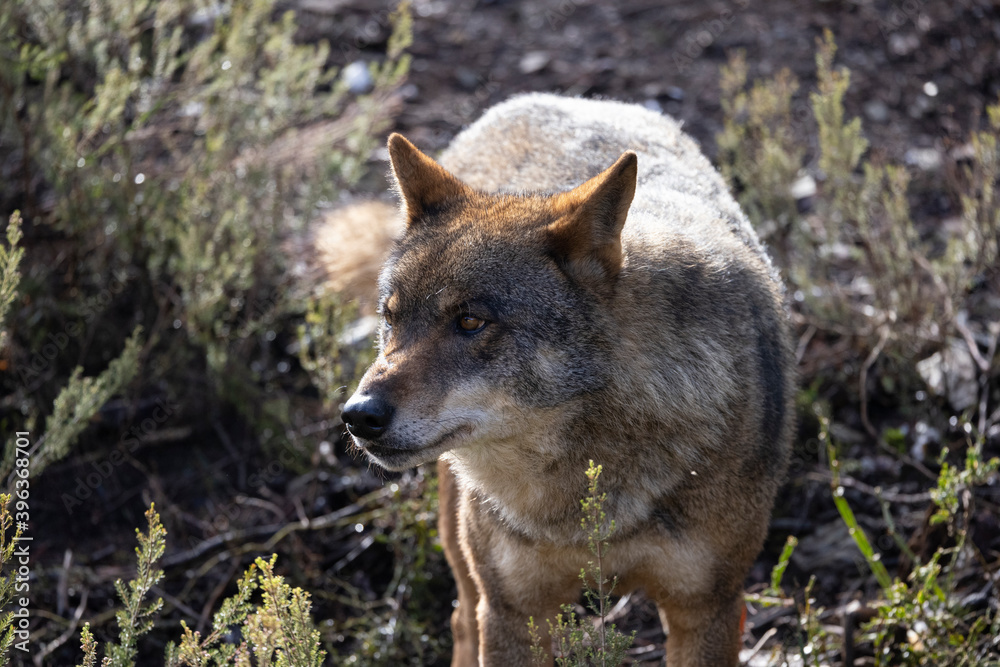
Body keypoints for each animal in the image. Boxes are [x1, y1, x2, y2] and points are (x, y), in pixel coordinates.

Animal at [340, 93, 795, 667]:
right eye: (391, 317)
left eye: (470, 321)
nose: (358, 416)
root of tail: (552, 98)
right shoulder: (514, 612)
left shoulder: (708, 608)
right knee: (461, 617)